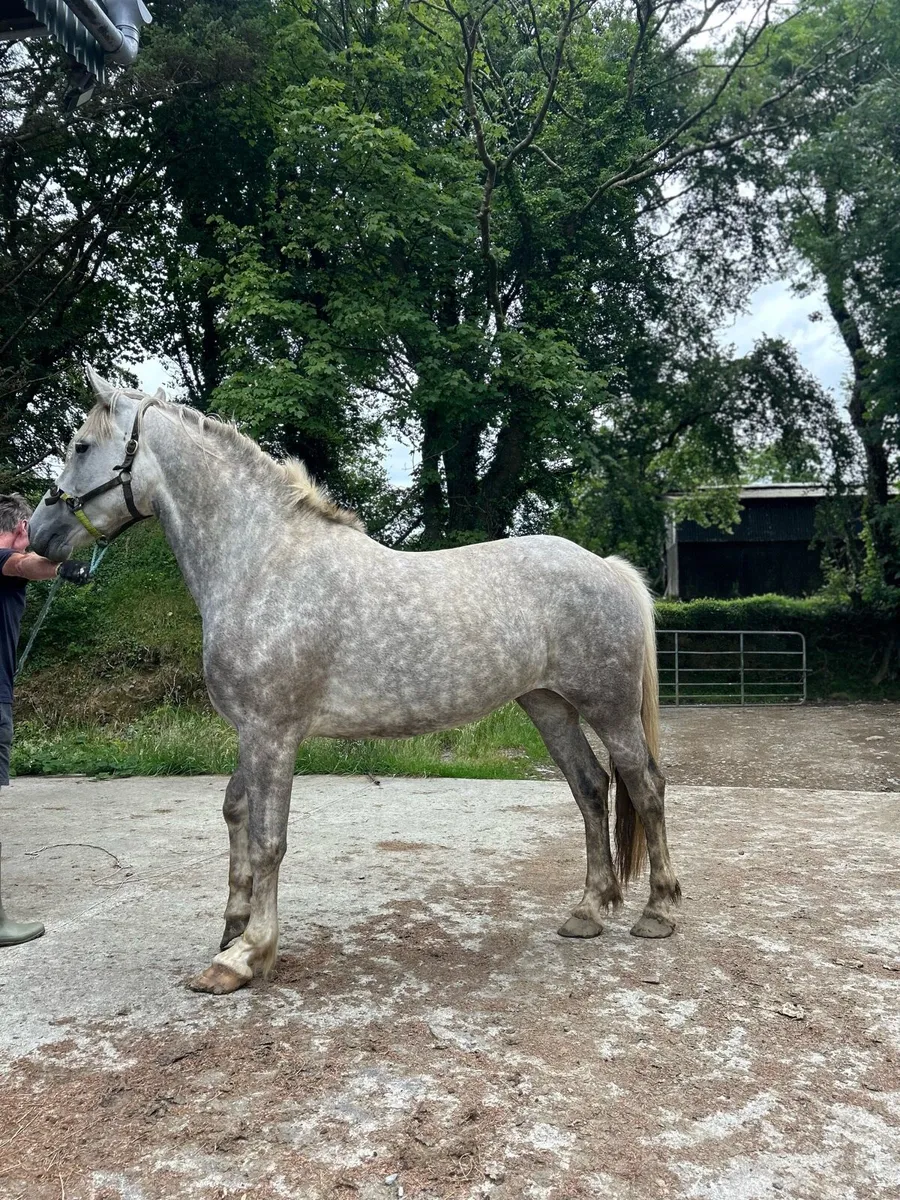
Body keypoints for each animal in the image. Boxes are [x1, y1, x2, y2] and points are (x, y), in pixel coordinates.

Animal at [27, 368, 681, 994]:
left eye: (81, 445)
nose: (38, 534)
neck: (262, 564)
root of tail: (607, 568)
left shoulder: (273, 734)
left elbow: (267, 838)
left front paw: (245, 957)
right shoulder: (251, 730)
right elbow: (236, 814)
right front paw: (233, 929)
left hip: (610, 708)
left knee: (645, 786)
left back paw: (658, 912)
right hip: (548, 706)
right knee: (592, 789)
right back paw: (589, 911)